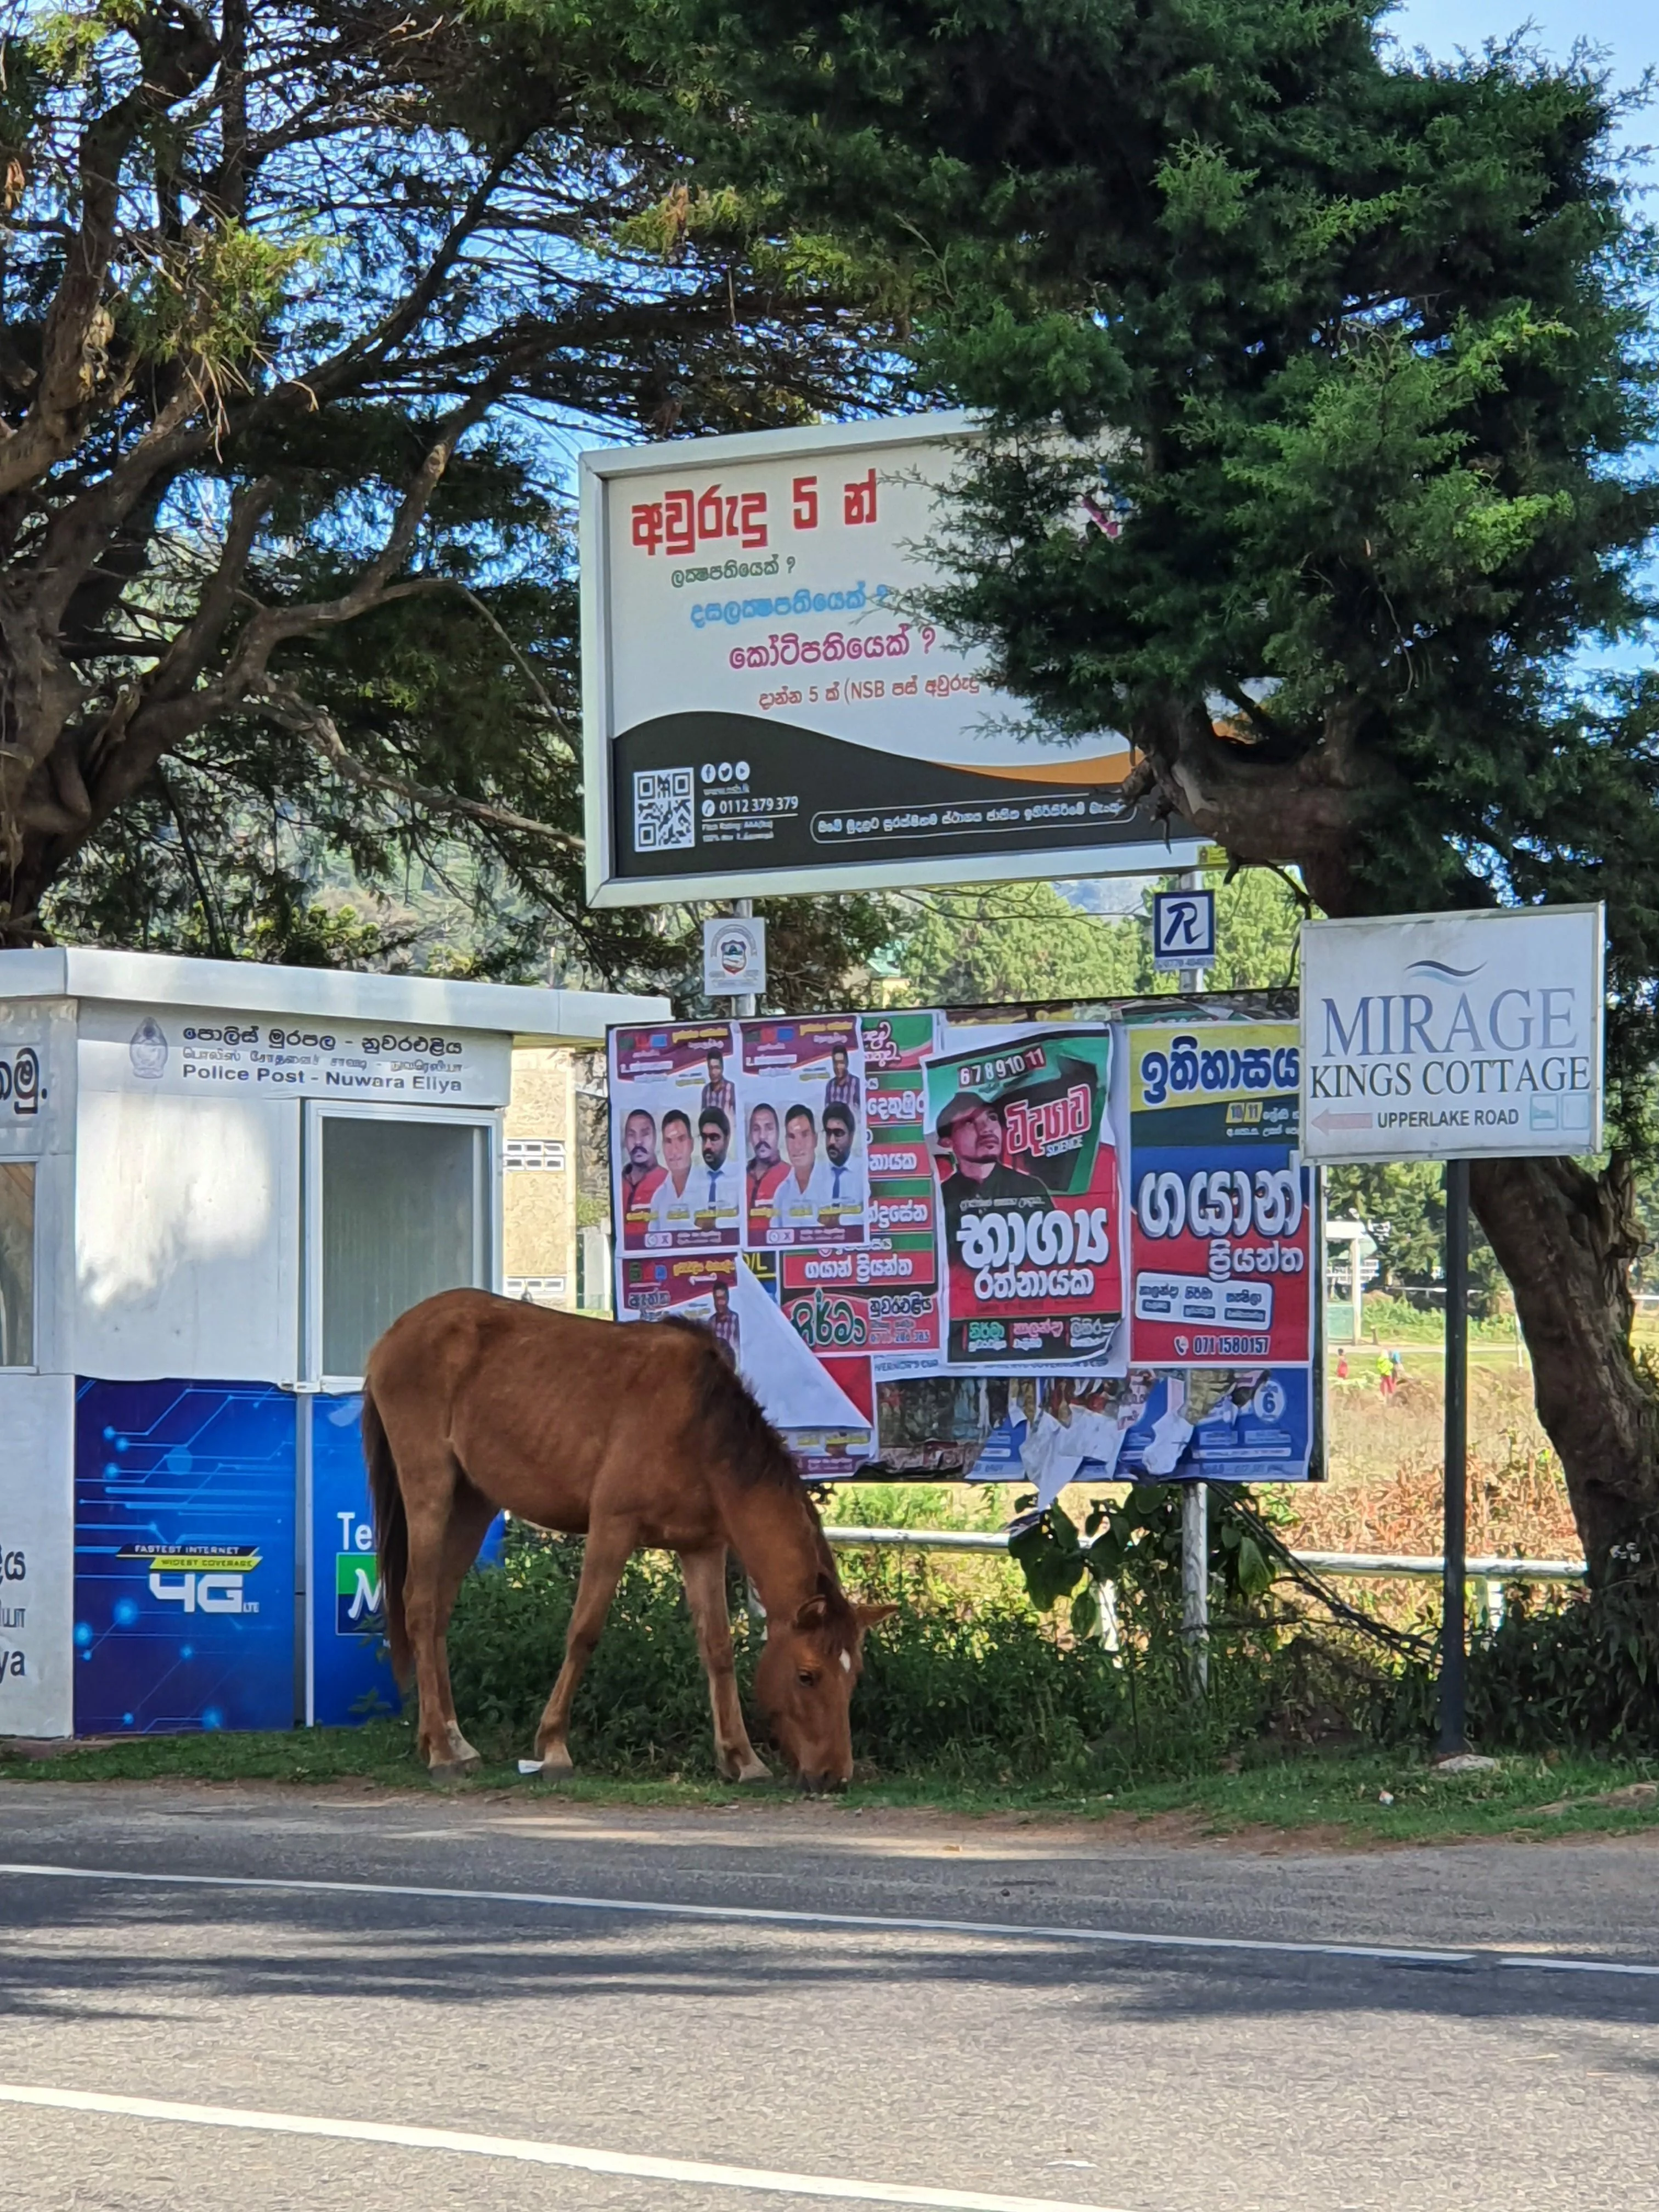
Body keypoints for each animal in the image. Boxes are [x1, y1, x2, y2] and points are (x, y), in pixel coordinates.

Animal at [363, 1291, 898, 1787]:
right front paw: (553, 1746)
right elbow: (584, 1632)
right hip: (430, 1487)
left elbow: (719, 1648)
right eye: (807, 1675)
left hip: (473, 1502)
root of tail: (395, 1334)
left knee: (439, 1611)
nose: (835, 1776)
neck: (700, 1426)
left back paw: (453, 1740)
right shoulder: (612, 1528)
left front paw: (742, 1758)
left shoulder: (703, 1548)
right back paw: (441, 1751)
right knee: (420, 1604)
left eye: (854, 1675)